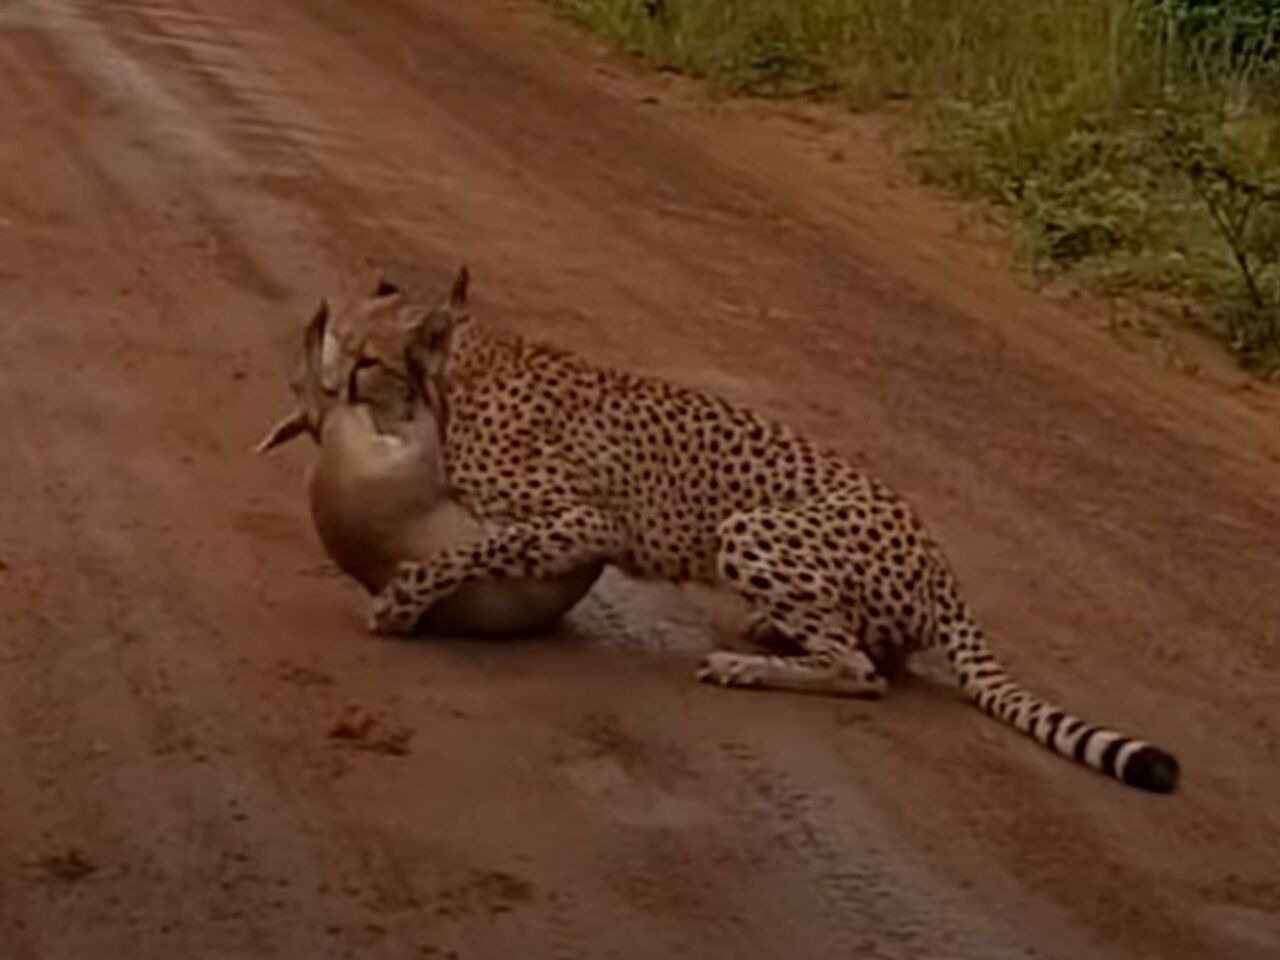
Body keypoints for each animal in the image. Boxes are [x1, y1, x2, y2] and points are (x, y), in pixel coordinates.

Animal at [350, 267, 1177, 793]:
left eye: (364, 358)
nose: (335, 379)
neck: (458, 369)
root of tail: (941, 562)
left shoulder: (587, 519)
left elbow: (474, 545)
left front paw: (401, 602)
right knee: (870, 653)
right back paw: (768, 636)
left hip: (751, 527)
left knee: (862, 672)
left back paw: (747, 666)